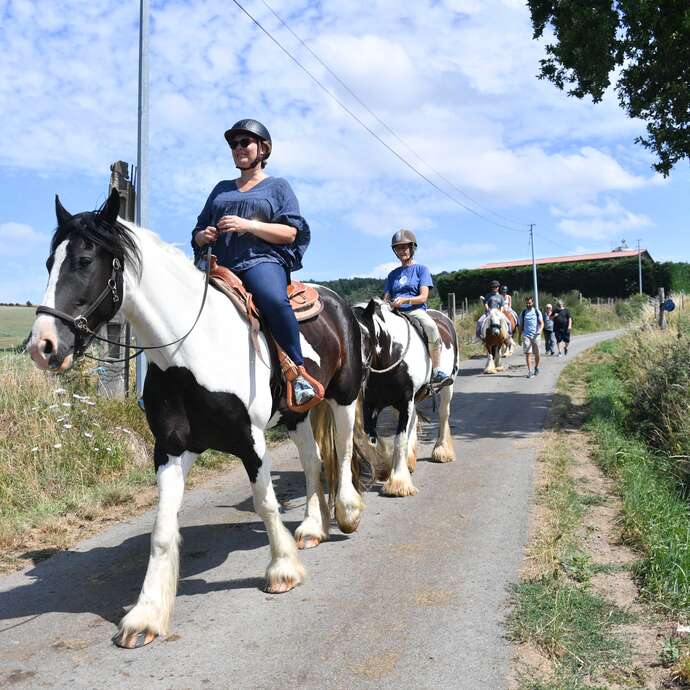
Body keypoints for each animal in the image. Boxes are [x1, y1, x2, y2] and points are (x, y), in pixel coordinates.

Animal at [27, 190, 364, 648]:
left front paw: (282, 569)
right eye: (49, 262)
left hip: (343, 397)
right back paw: (313, 527)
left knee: (343, 453)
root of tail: (335, 301)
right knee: (314, 463)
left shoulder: (250, 440)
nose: (42, 346)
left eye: (83, 260)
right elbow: (162, 530)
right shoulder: (171, 448)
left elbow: (265, 502)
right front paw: (146, 614)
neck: (188, 352)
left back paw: (347, 512)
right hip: (296, 415)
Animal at [352, 299, 458, 497]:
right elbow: (372, 438)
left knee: (443, 415)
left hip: (448, 386)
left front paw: (399, 483)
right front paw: (385, 469)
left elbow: (399, 439)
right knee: (414, 421)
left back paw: (441, 451)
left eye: (365, 335)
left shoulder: (404, 401)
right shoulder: (371, 404)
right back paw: (410, 460)